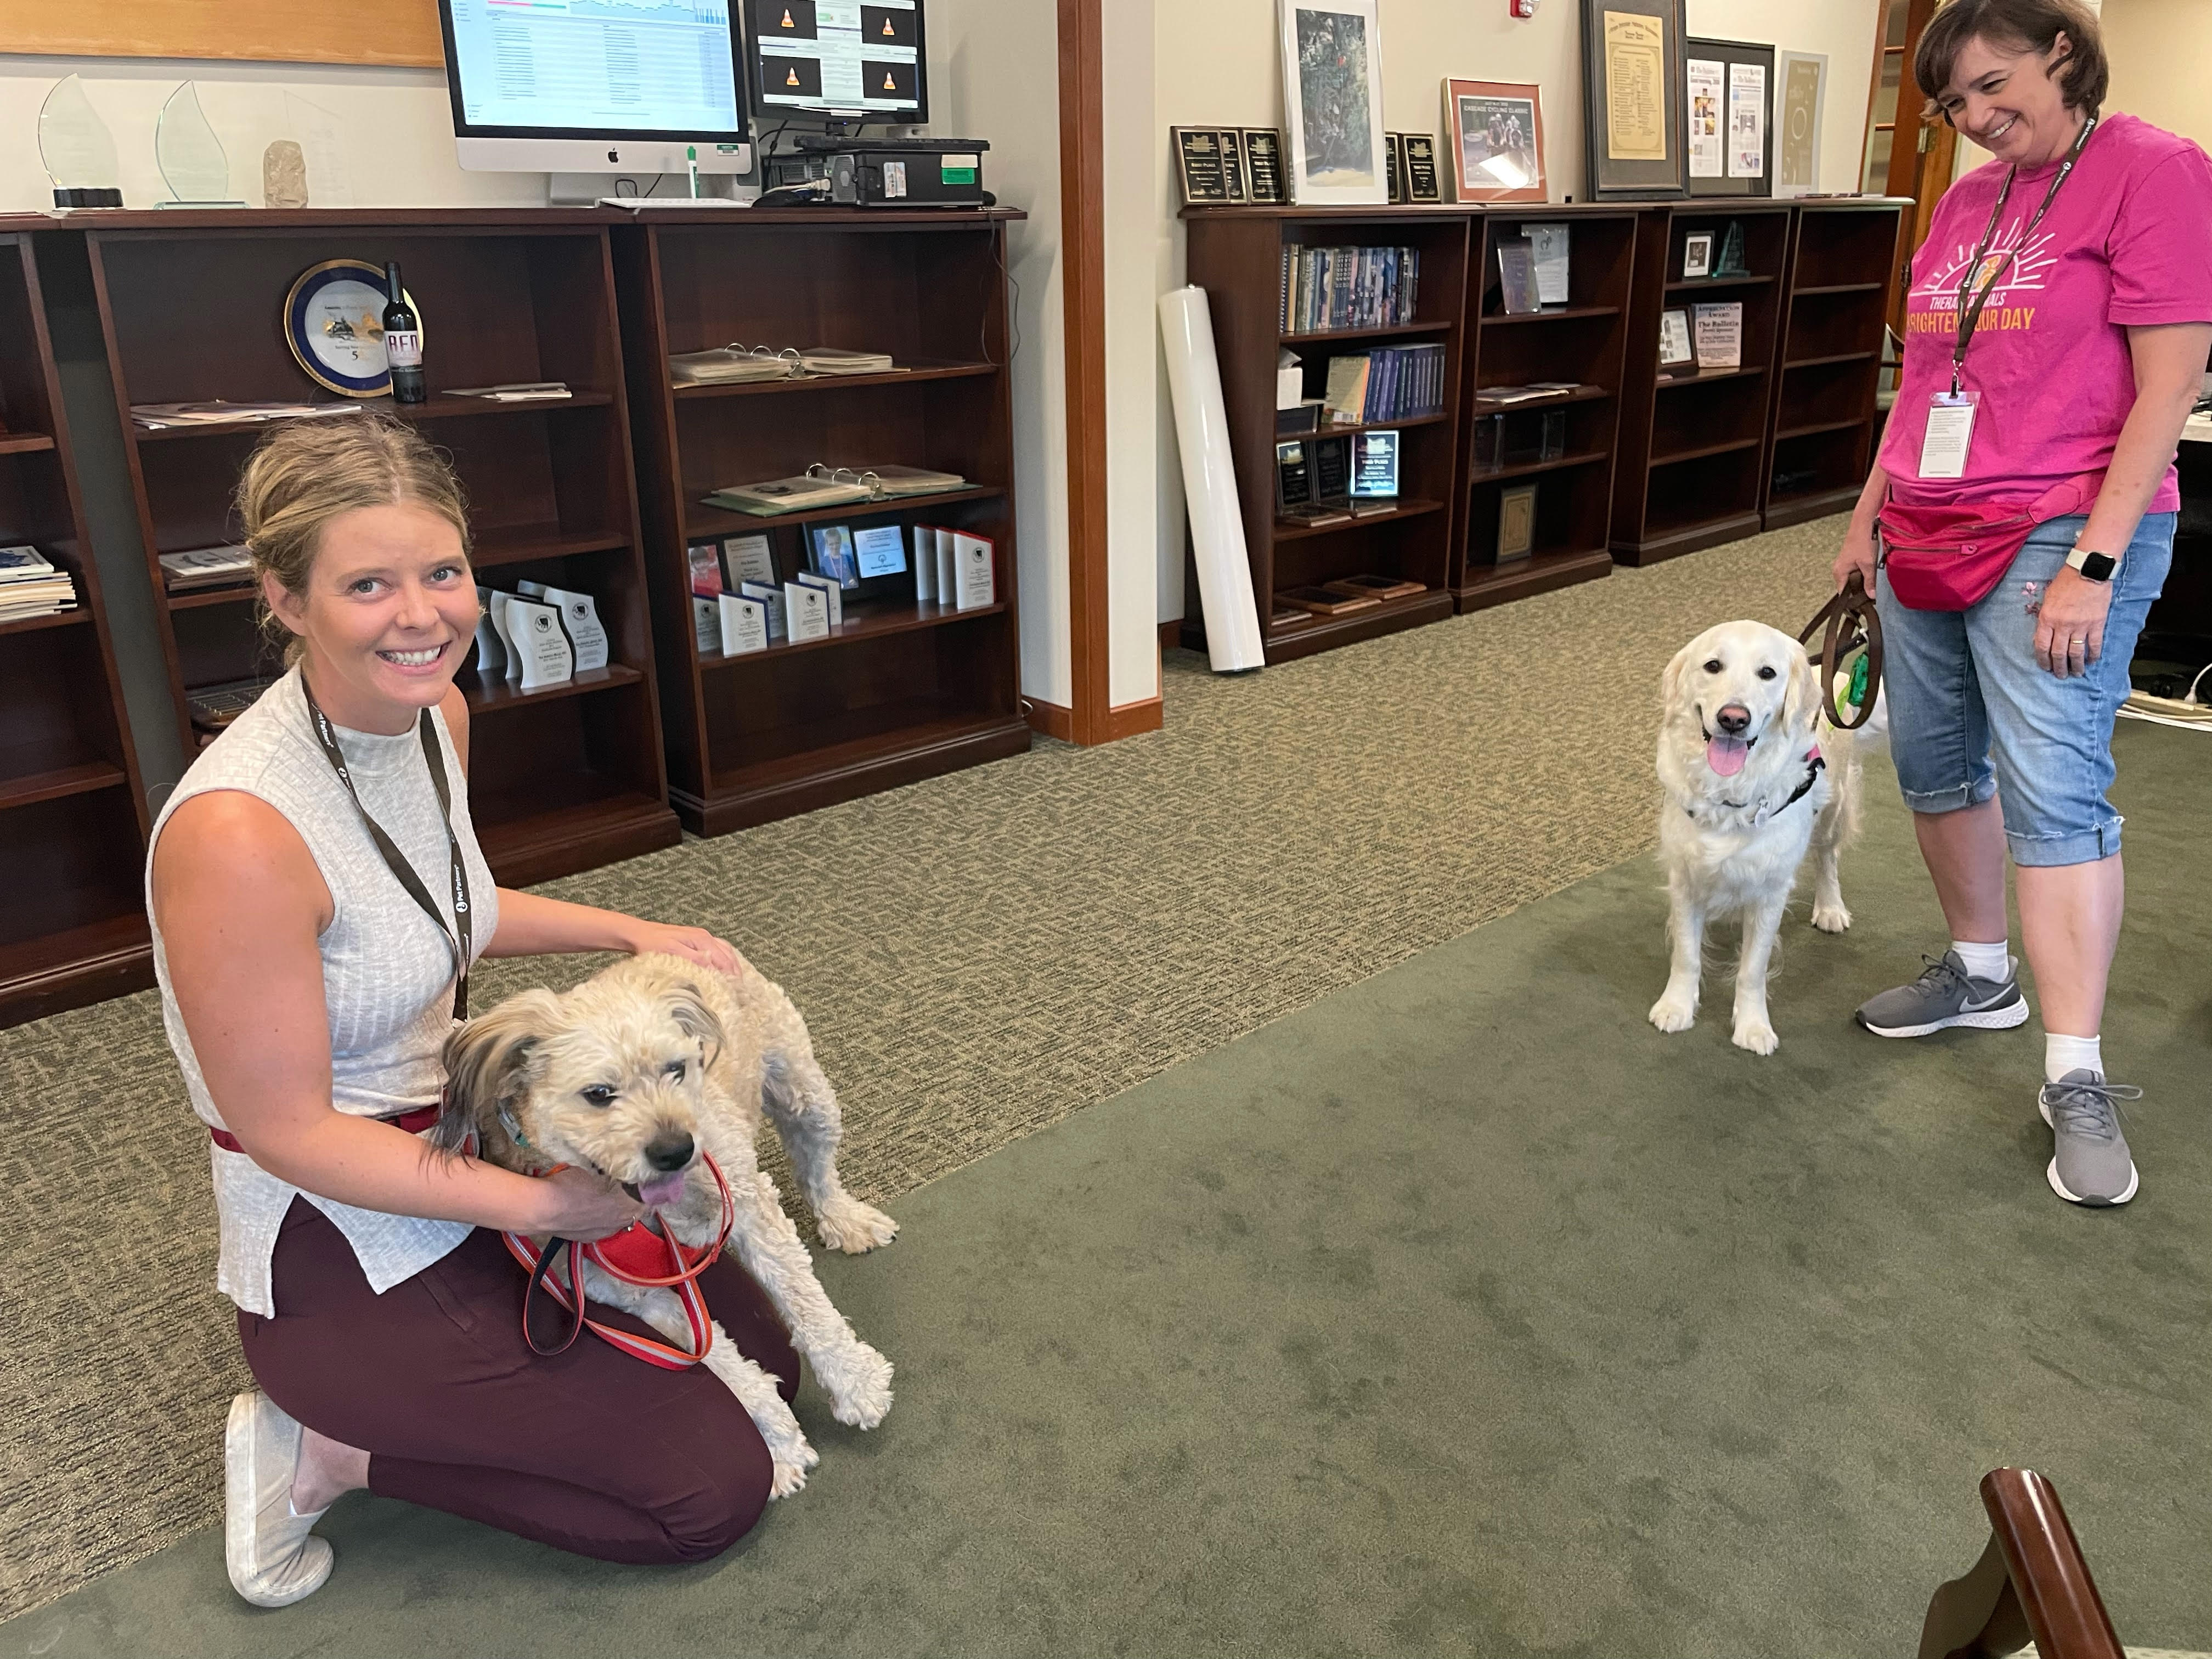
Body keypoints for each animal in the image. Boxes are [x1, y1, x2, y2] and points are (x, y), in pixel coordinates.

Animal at [436, 955, 893, 1504]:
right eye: (599, 1094)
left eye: (677, 1069)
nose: (678, 1151)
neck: (632, 1206)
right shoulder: (629, 1291)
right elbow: (719, 1362)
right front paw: (778, 1448)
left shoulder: (749, 1210)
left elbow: (807, 1304)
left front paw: (856, 1383)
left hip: (805, 1094)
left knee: (817, 1172)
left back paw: (847, 1219)